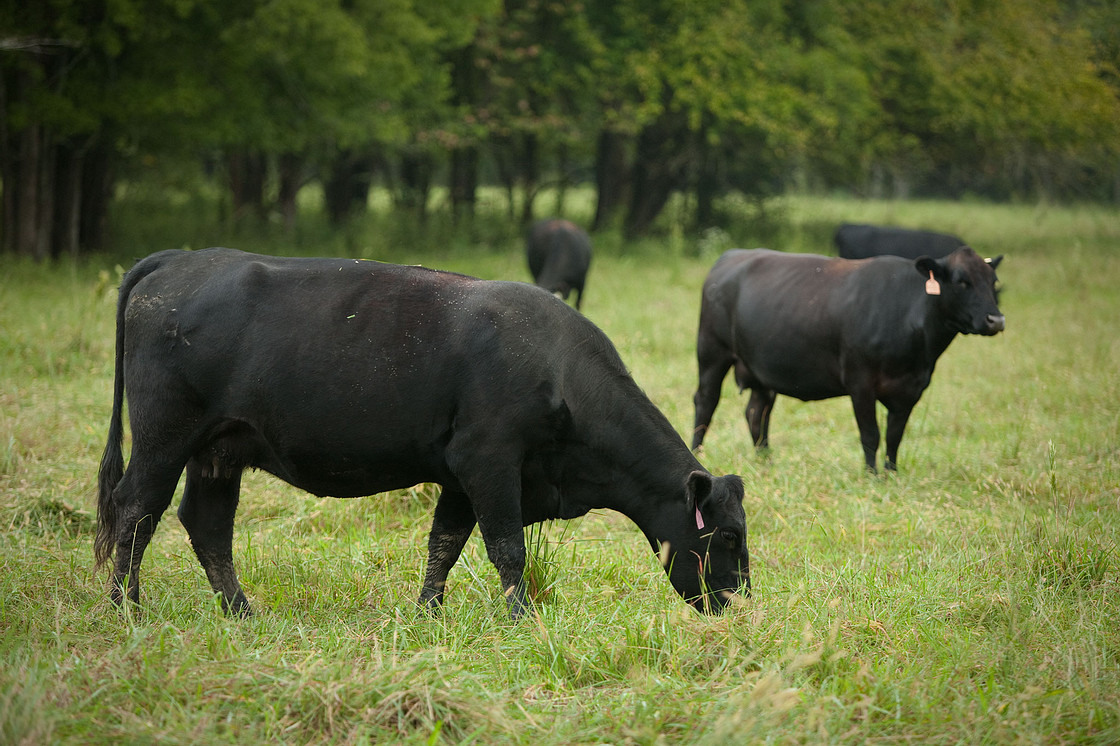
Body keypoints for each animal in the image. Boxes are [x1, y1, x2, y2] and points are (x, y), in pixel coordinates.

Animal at [689, 246, 1008, 468]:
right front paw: (872, 475)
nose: (996, 320)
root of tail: (733, 255)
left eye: (993, 282)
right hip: (712, 353)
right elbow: (871, 434)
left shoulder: (911, 389)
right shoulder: (860, 382)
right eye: (961, 281)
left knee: (757, 412)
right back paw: (697, 454)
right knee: (706, 402)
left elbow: (894, 436)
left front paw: (891, 472)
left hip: (761, 369)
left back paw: (765, 460)